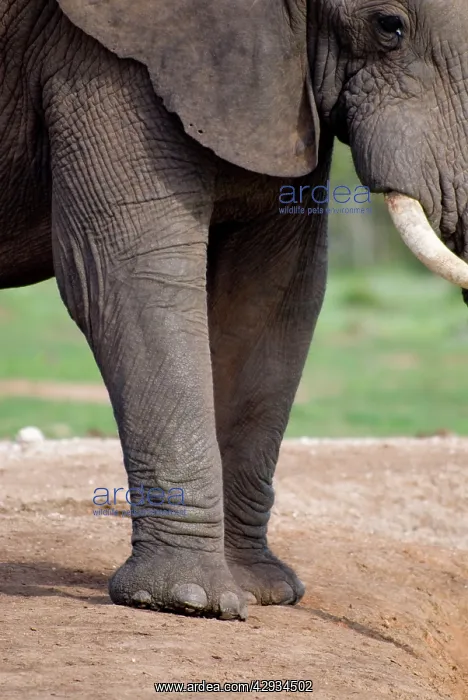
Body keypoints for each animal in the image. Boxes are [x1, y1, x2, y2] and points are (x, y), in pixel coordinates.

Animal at [2, 0, 468, 621]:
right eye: (388, 26)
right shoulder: (99, 52)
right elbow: (133, 270)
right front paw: (188, 601)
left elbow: (272, 290)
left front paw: (262, 593)